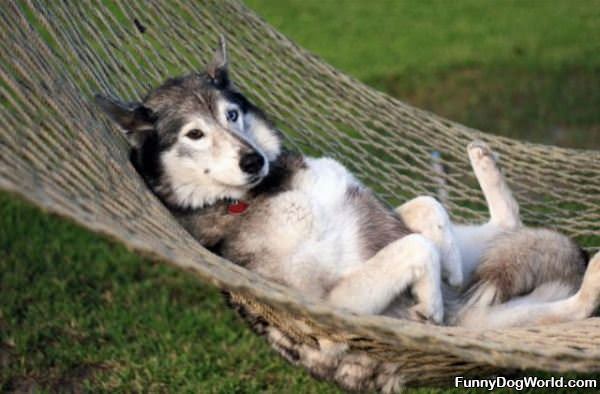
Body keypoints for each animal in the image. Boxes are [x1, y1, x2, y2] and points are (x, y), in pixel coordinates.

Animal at [94, 38, 600, 330]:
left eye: (231, 115)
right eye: (194, 134)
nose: (253, 159)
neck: (270, 190)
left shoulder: (380, 206)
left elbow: (426, 206)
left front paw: (449, 267)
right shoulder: (333, 299)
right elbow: (415, 246)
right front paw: (431, 299)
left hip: (487, 252)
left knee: (503, 224)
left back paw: (482, 164)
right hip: (484, 321)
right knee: (573, 305)